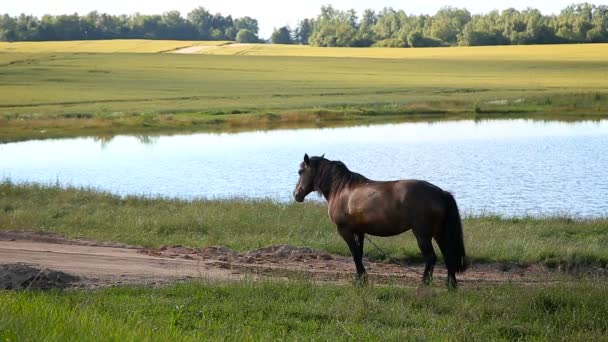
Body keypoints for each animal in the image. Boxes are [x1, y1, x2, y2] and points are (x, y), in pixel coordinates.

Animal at [292, 154, 468, 288]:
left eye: (300, 171)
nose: (296, 195)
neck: (341, 189)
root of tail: (441, 193)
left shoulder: (345, 231)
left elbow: (354, 254)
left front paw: (361, 280)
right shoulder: (359, 231)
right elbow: (359, 254)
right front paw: (361, 279)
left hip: (422, 235)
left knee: (431, 258)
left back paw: (424, 284)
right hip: (439, 233)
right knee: (448, 255)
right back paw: (451, 285)